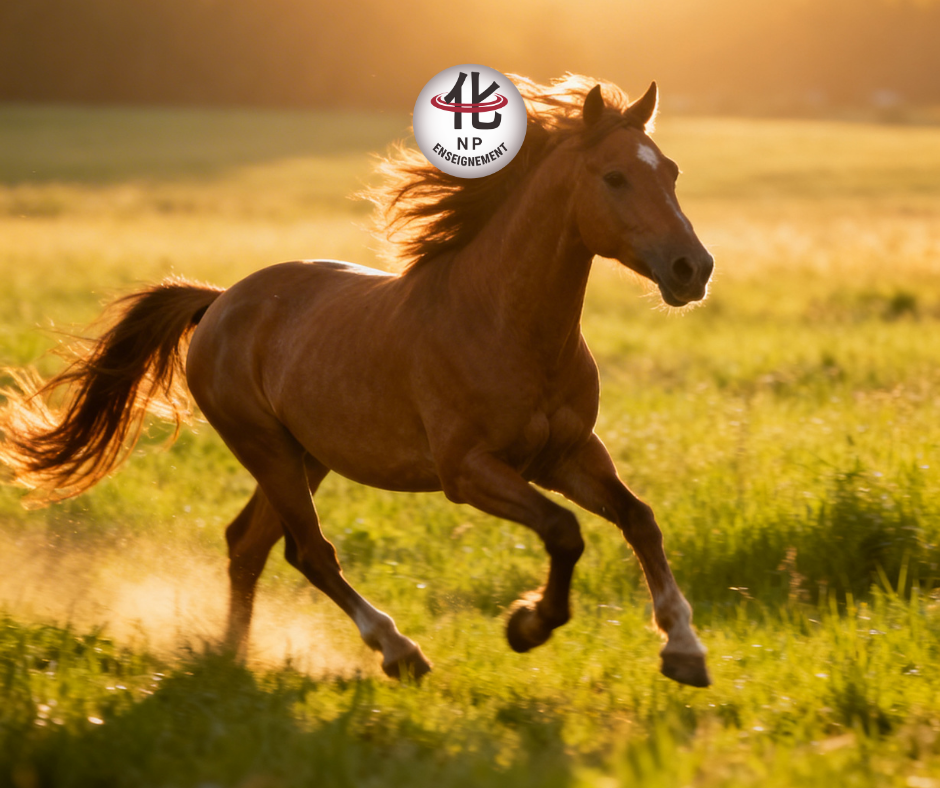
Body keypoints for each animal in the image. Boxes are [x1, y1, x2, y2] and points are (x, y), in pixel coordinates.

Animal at [0, 76, 714, 686]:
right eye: (615, 177)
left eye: (673, 172)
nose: (693, 268)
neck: (505, 324)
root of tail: (219, 301)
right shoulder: (468, 470)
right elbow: (564, 530)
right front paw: (528, 625)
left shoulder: (565, 454)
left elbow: (638, 518)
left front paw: (684, 651)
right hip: (265, 447)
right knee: (309, 552)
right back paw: (399, 652)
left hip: (305, 455)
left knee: (249, 544)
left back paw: (233, 657)